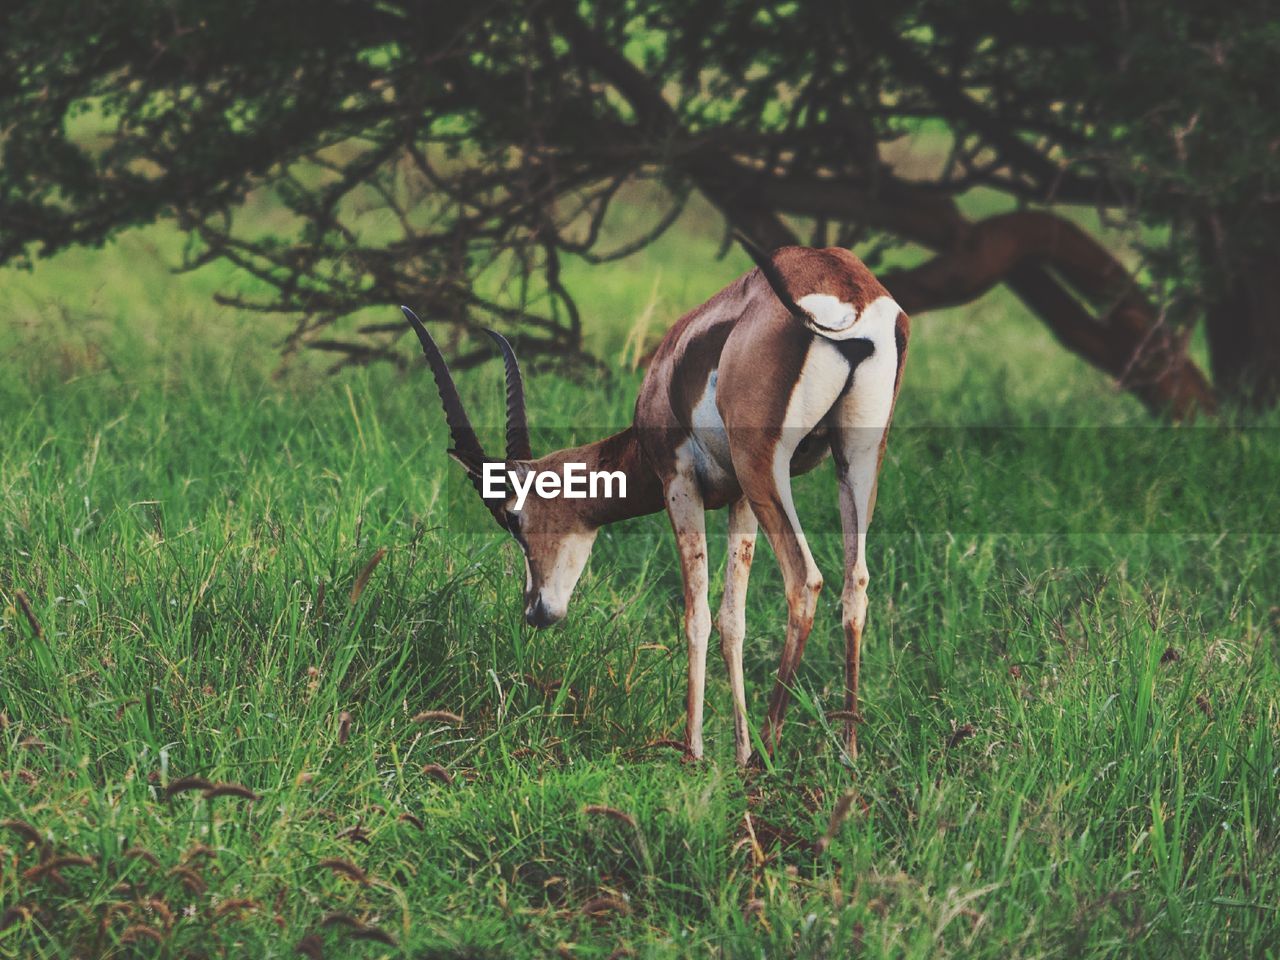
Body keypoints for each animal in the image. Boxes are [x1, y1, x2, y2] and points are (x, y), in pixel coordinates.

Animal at [404, 240, 906, 768]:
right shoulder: (740, 500)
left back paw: (768, 757)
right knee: (856, 584)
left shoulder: (679, 483)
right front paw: (737, 752)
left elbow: (696, 614)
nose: (535, 611)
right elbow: (733, 619)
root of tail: (849, 291)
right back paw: (845, 754)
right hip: (854, 461)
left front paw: (693, 752)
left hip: (767, 466)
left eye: (513, 519)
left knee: (804, 580)